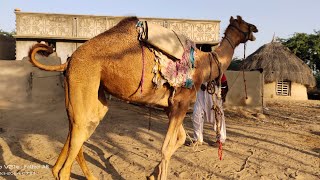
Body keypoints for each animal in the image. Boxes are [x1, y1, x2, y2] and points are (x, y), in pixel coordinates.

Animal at [27, 15, 258, 180]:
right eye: (243, 22)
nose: (255, 29)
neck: (203, 64)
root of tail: (68, 61)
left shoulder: (169, 106)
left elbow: (180, 139)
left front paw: (152, 174)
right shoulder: (181, 102)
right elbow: (166, 147)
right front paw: (157, 175)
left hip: (90, 95)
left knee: (78, 130)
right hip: (84, 80)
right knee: (74, 145)